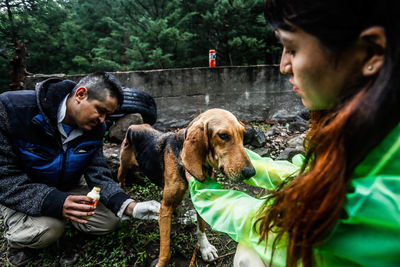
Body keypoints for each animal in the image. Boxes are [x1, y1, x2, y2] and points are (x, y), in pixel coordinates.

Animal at [117, 109, 255, 267]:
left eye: (243, 134)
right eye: (223, 135)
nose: (251, 172)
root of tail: (134, 125)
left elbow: (201, 228)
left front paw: (205, 248)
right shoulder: (166, 207)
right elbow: (166, 251)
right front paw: (161, 263)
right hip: (123, 164)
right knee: (120, 180)